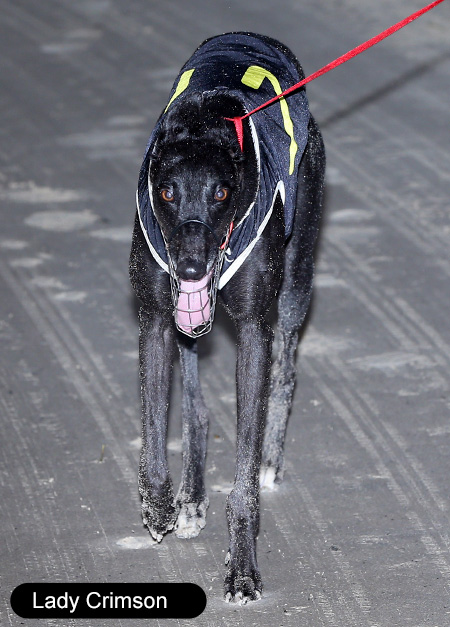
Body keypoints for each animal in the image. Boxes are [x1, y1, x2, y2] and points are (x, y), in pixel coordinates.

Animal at [129, 32, 325, 603]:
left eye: (220, 191)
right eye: (166, 190)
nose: (192, 267)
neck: (205, 121)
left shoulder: (257, 330)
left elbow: (243, 472)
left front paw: (241, 568)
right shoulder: (155, 318)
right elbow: (155, 432)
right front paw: (160, 506)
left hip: (296, 281)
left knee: (286, 372)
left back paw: (270, 461)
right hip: (186, 321)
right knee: (195, 406)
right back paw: (191, 496)